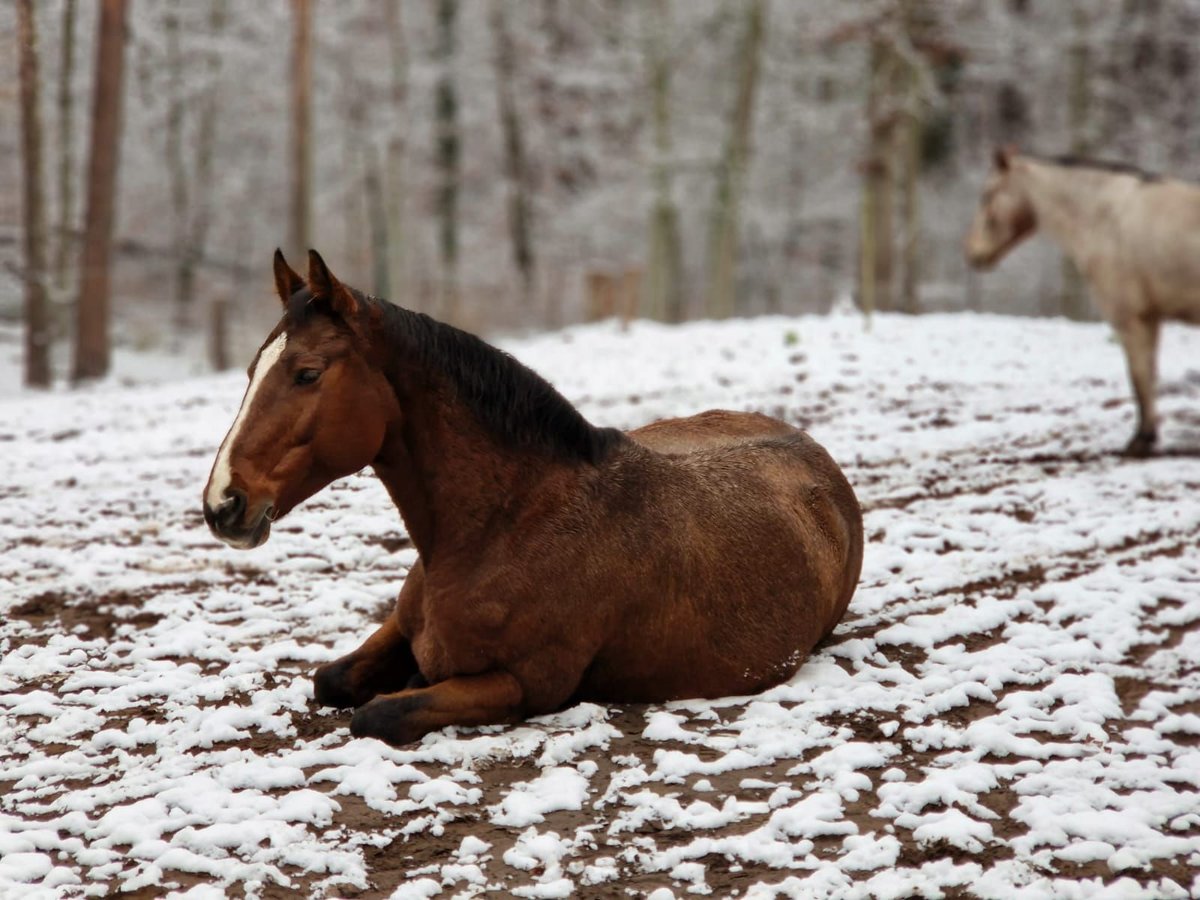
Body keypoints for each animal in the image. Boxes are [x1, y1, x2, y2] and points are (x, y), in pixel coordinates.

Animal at [206, 252, 864, 748]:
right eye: (251, 370)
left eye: (308, 373)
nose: (223, 505)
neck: (511, 523)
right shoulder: (400, 627)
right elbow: (332, 681)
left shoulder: (525, 684)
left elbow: (381, 711)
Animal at [964, 148, 1200, 458]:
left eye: (987, 194)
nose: (972, 253)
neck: (1106, 218)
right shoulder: (1150, 318)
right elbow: (1148, 376)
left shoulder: (1131, 319)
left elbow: (1139, 377)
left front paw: (1141, 440)